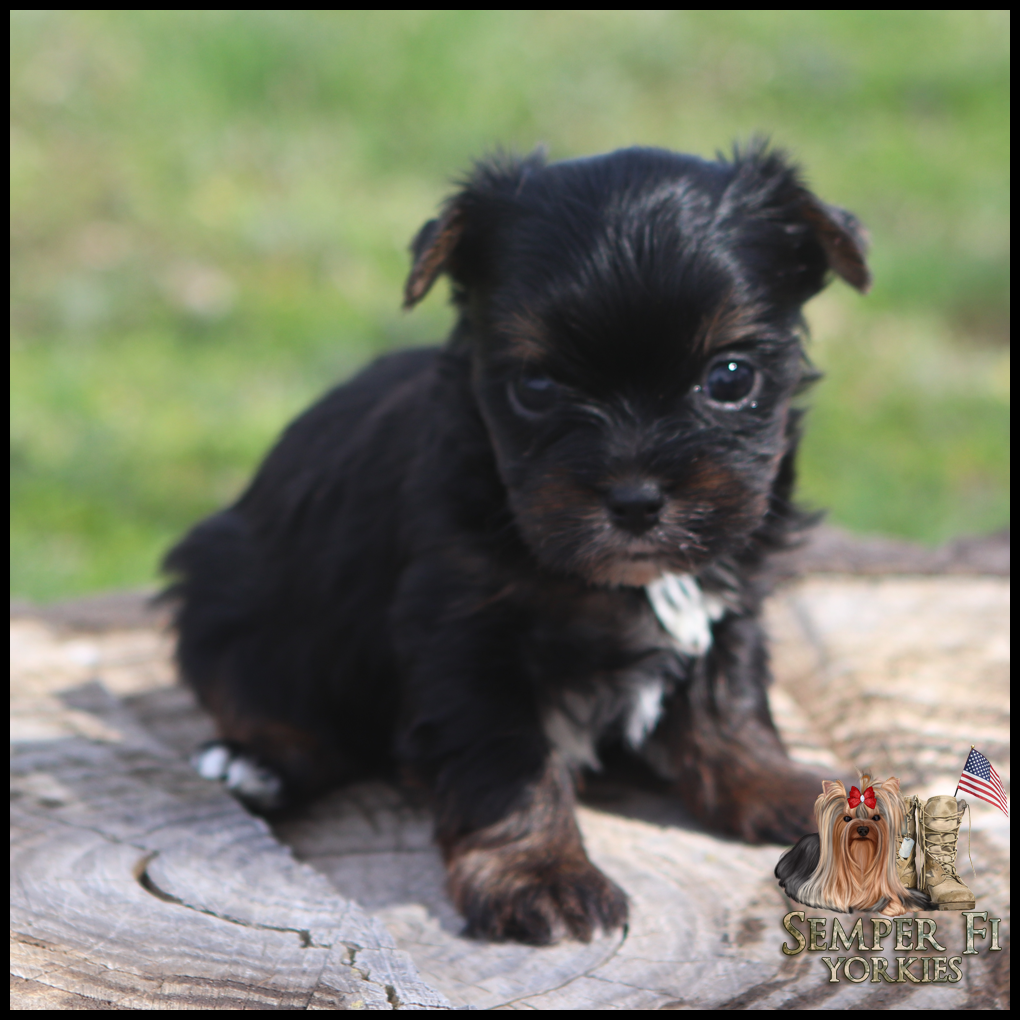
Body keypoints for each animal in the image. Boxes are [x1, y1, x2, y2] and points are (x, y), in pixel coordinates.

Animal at [164, 142, 871, 944]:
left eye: (730, 377)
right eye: (536, 386)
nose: (635, 498)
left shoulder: (729, 592)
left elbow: (729, 697)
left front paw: (771, 782)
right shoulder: (466, 635)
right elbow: (508, 765)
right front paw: (541, 875)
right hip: (227, 589)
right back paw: (251, 765)